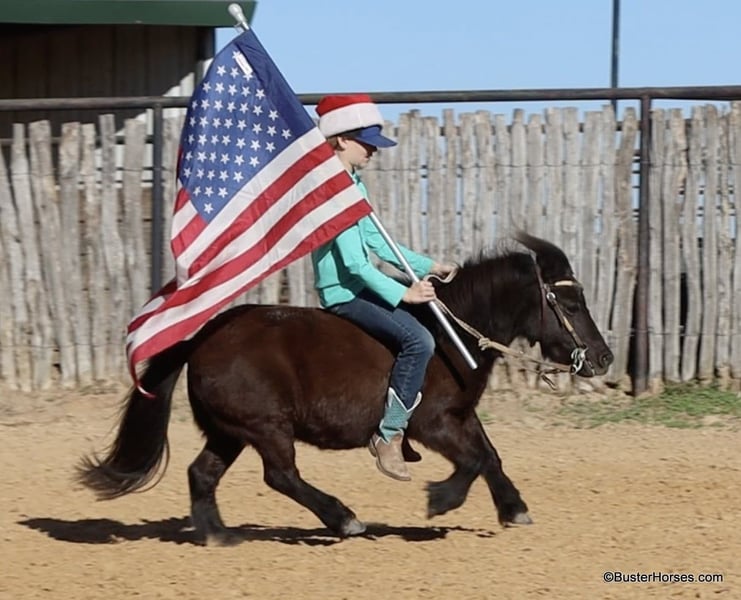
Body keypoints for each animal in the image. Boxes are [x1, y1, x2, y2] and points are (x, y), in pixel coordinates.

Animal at [78, 232, 613, 545]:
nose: (604, 357)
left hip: (230, 431)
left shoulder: (461, 417)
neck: (450, 334)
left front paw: (515, 510)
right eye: (570, 302)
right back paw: (343, 519)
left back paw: (218, 535)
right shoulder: (434, 424)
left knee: (202, 473)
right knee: (281, 475)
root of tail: (204, 335)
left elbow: (491, 456)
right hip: (266, 427)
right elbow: (474, 460)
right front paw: (439, 500)